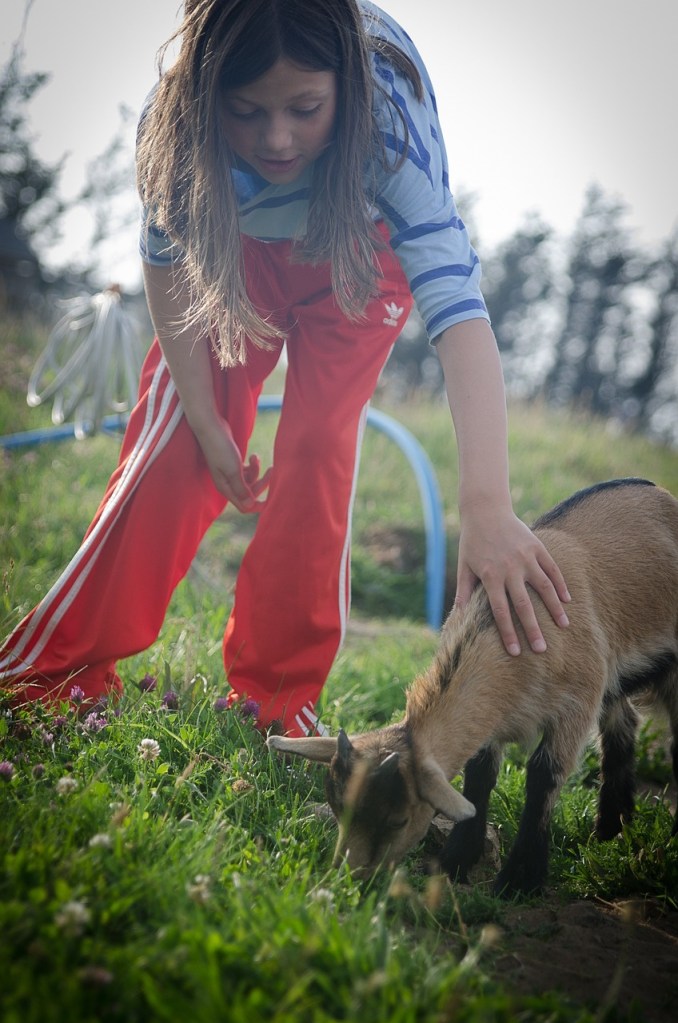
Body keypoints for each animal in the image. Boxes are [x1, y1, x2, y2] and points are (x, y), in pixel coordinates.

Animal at [267, 478, 678, 897]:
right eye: (336, 808)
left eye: (399, 820)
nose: (353, 880)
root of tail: (657, 491)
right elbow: (479, 774)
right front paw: (456, 860)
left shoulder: (576, 704)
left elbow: (543, 776)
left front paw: (520, 878)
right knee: (622, 725)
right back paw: (611, 827)